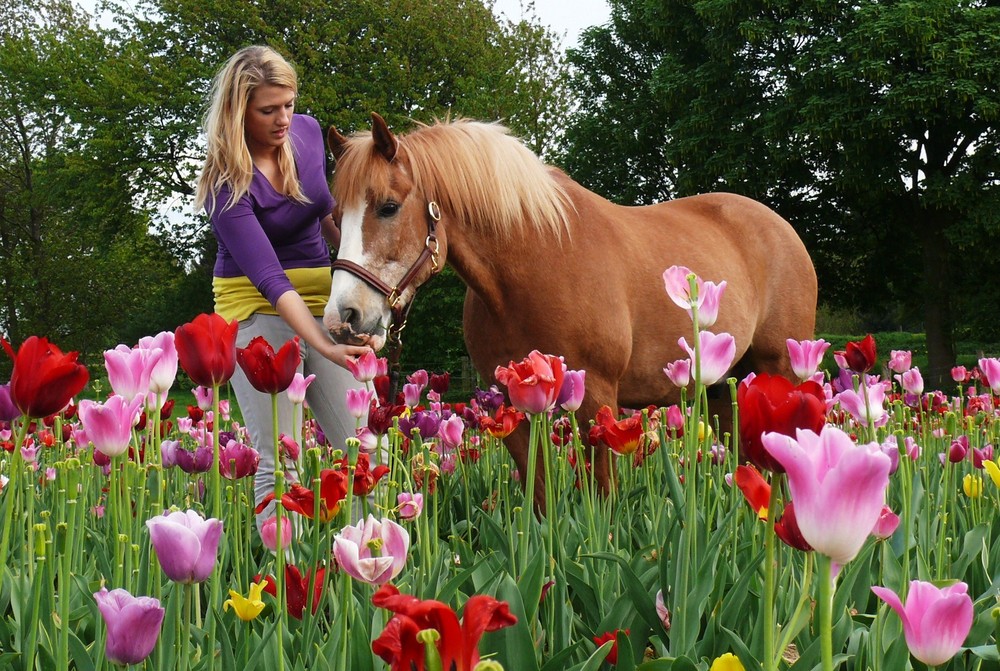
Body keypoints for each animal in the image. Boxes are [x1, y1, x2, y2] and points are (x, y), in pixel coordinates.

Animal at [324, 113, 816, 506]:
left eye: (388, 207)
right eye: (336, 216)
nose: (342, 318)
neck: (535, 264)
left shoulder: (597, 402)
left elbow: (604, 497)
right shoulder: (511, 407)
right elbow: (540, 497)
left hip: (778, 373)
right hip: (721, 390)